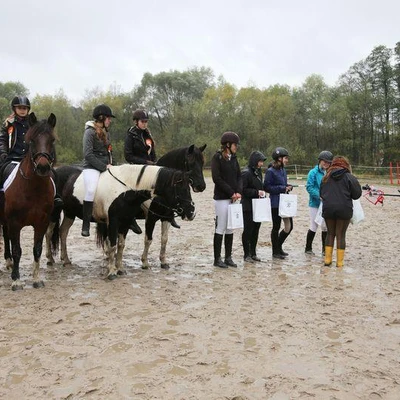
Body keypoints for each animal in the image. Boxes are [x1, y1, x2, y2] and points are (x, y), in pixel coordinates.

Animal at [0, 112, 57, 290]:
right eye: (31, 141)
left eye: (52, 140)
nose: (43, 167)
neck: (33, 188)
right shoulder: (15, 222)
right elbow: (17, 250)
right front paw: (16, 280)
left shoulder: (42, 222)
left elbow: (37, 249)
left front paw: (36, 279)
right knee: (7, 238)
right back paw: (9, 262)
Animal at [46, 164, 195, 280]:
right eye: (181, 189)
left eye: (189, 187)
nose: (192, 212)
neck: (125, 191)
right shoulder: (117, 221)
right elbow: (115, 244)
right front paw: (113, 271)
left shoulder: (126, 222)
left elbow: (121, 245)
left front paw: (120, 268)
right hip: (54, 213)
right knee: (49, 233)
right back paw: (50, 259)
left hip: (70, 213)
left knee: (63, 232)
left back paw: (65, 260)